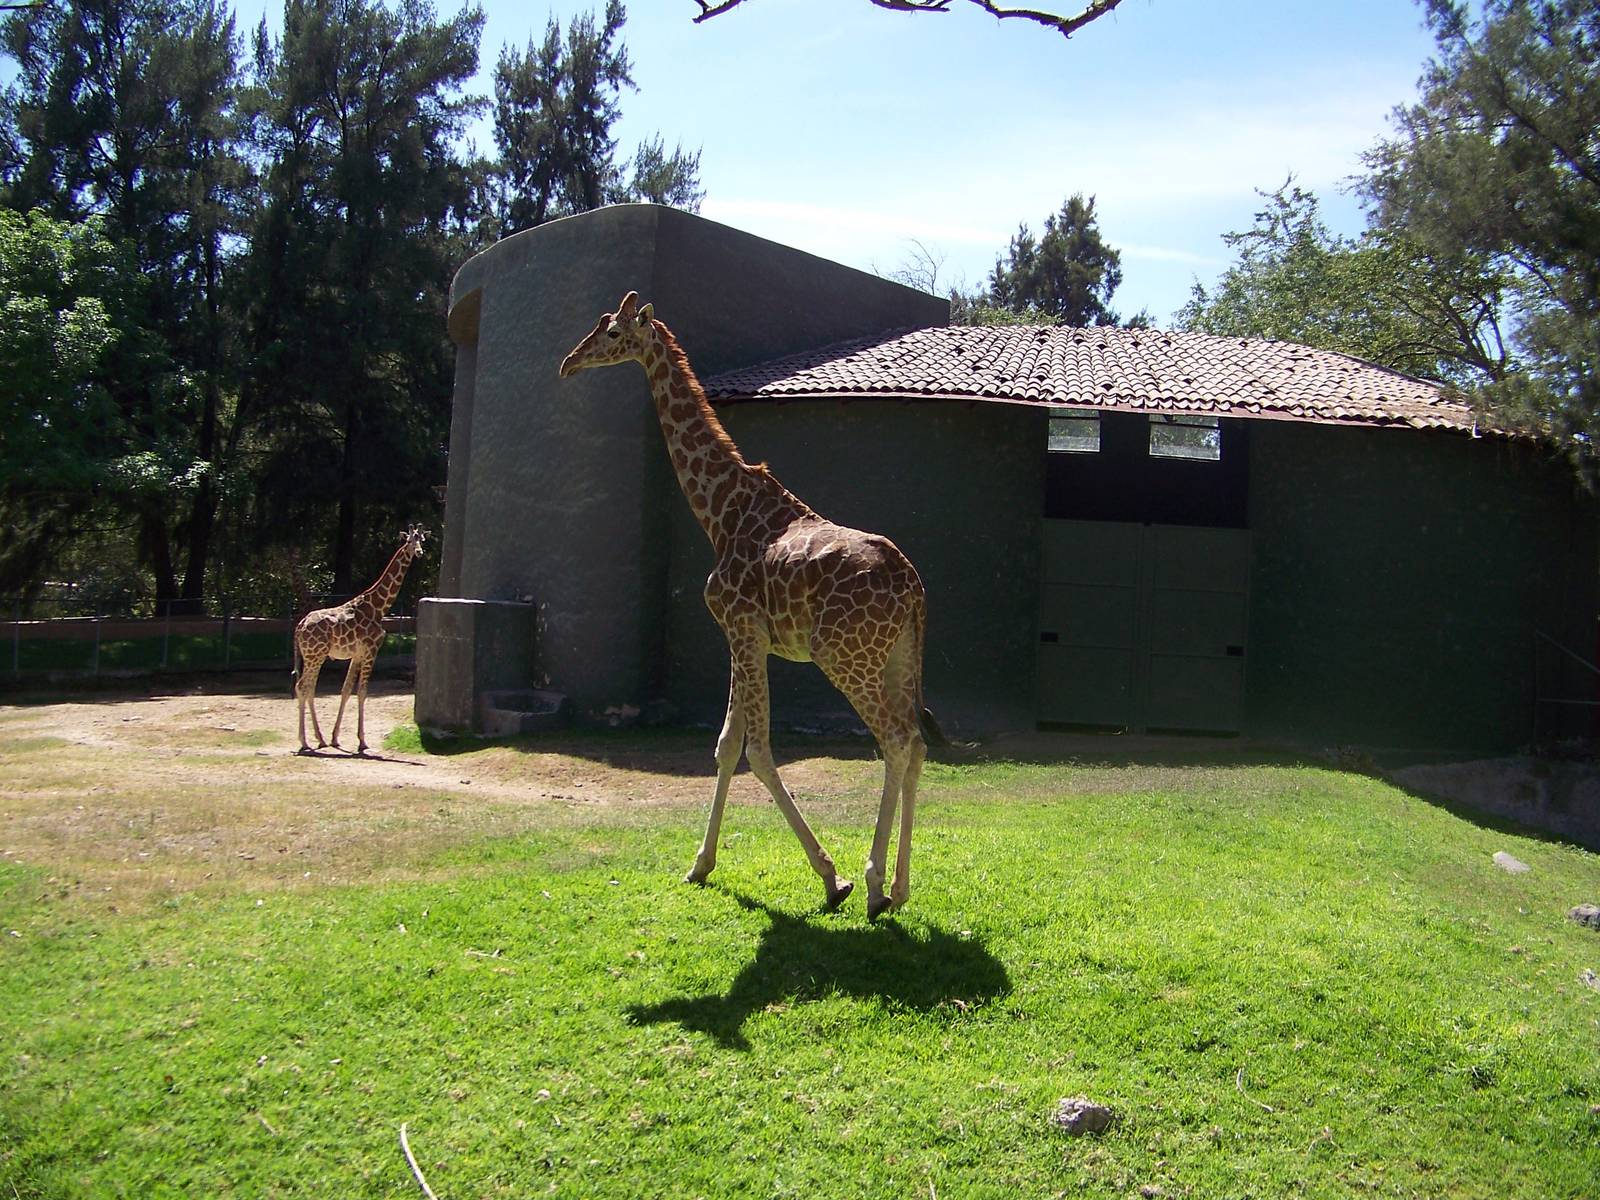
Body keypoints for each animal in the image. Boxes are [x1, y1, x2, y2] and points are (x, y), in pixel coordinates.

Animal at [293, 526, 428, 755]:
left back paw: (319, 739)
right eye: (410, 541)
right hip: (315, 655)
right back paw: (304, 742)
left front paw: (335, 738)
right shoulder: (371, 650)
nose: (418, 552)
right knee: (303, 686)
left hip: (313, 656)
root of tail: (299, 627)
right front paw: (362, 741)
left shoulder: (356, 655)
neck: (378, 607)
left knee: (308, 688)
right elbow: (363, 692)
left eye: (422, 540)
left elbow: (346, 690)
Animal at [559, 292, 938, 919]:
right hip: (898, 657)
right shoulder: (745, 637)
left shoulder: (741, 627)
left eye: (610, 331)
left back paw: (873, 883)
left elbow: (756, 751)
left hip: (844, 657)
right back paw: (902, 887)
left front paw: (831, 879)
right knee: (916, 740)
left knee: (896, 740)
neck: (719, 510)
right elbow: (725, 745)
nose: (568, 362)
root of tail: (912, 588)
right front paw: (699, 865)